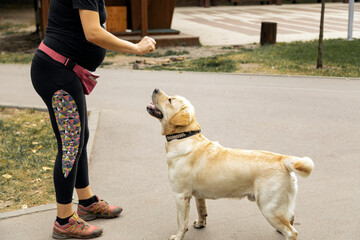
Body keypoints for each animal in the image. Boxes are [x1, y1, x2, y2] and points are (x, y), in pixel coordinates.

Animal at [146, 89, 312, 239]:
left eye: (170, 100)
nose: (155, 89)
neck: (184, 137)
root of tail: (282, 158)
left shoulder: (180, 195)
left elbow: (181, 222)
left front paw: (178, 236)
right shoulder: (197, 195)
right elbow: (201, 210)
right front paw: (200, 224)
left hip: (269, 207)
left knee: (292, 232)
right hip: (280, 205)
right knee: (291, 218)